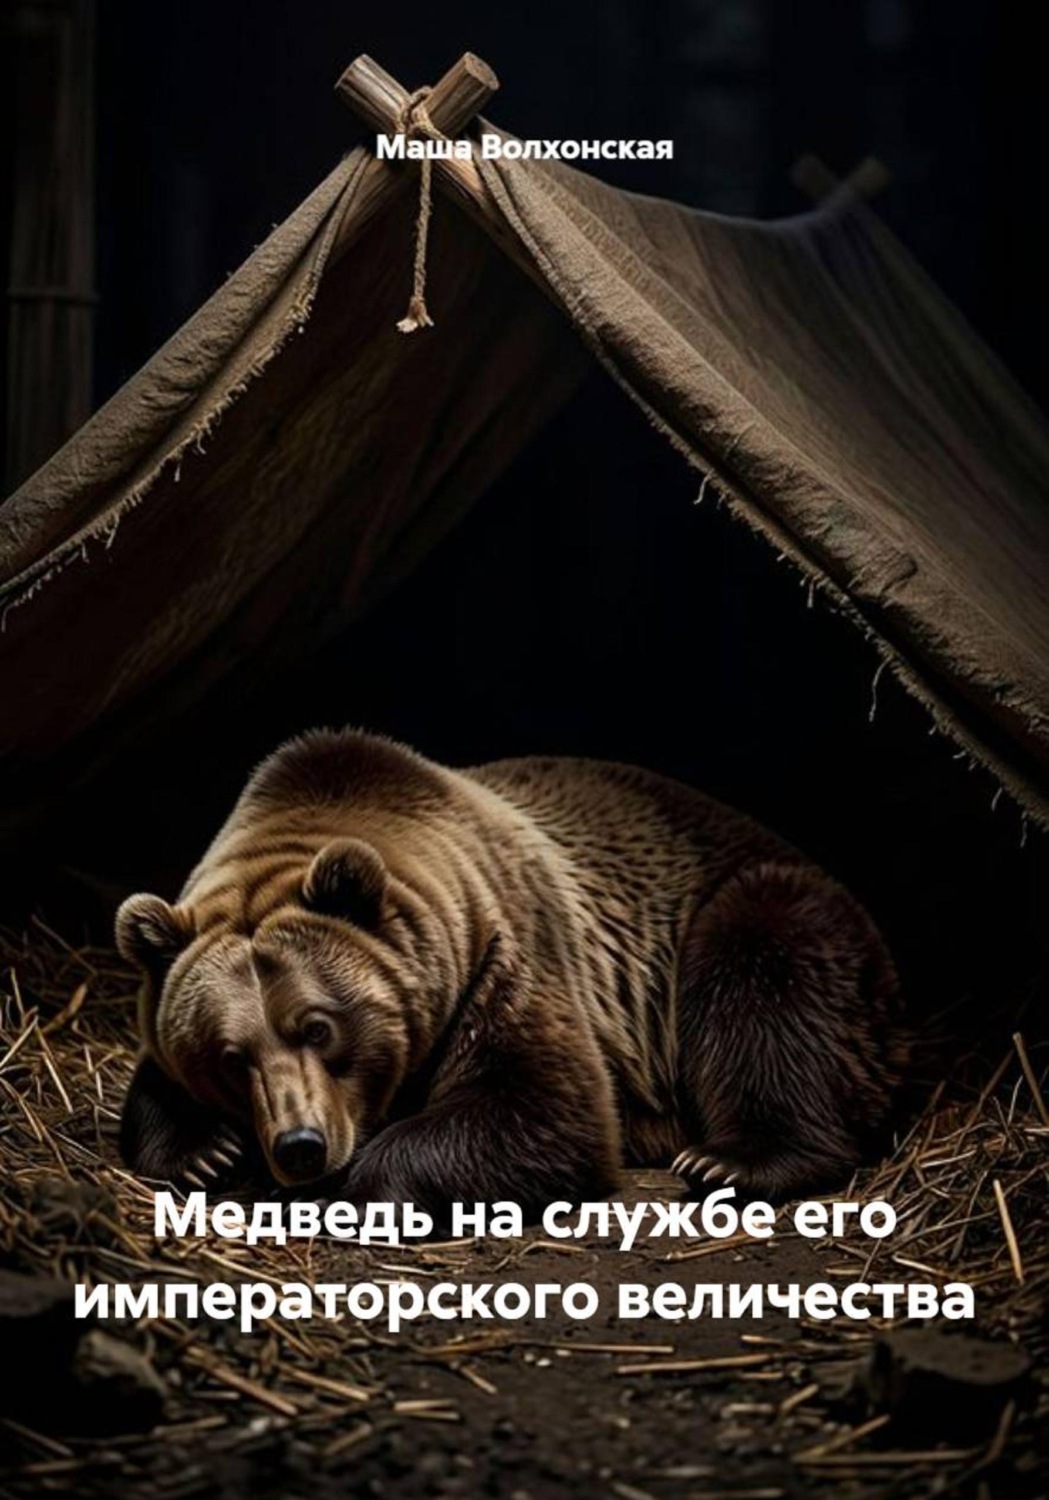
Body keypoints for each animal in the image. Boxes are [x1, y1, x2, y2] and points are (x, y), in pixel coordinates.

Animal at [115, 729, 906, 1219]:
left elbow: (543, 1103)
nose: (301, 1146)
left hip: (747, 910)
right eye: (228, 1056)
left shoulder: (506, 951)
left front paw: (365, 1184)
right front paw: (204, 1153)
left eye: (318, 1026)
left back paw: (731, 1161)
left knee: (769, 988)